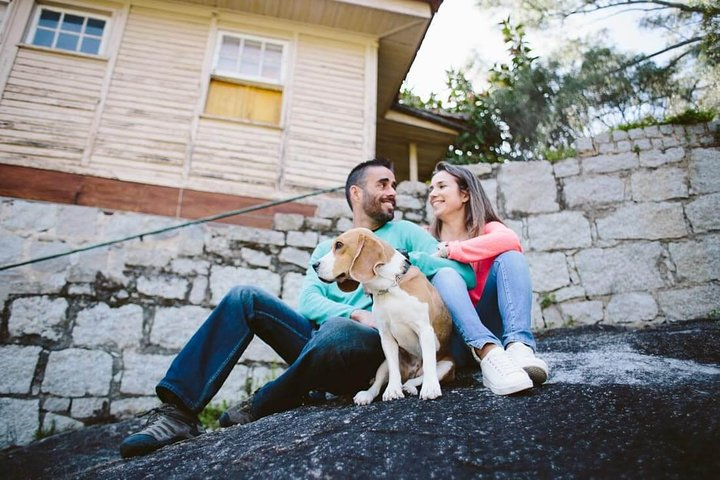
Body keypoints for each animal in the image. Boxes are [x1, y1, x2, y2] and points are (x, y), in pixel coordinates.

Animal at [312, 227, 452, 404]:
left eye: (339, 245)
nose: (314, 265)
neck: (389, 286)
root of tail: (411, 372)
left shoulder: (425, 330)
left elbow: (428, 364)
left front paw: (430, 388)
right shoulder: (386, 337)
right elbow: (393, 371)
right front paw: (392, 390)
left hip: (447, 365)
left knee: (420, 376)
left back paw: (412, 386)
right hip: (383, 364)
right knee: (379, 383)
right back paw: (368, 394)